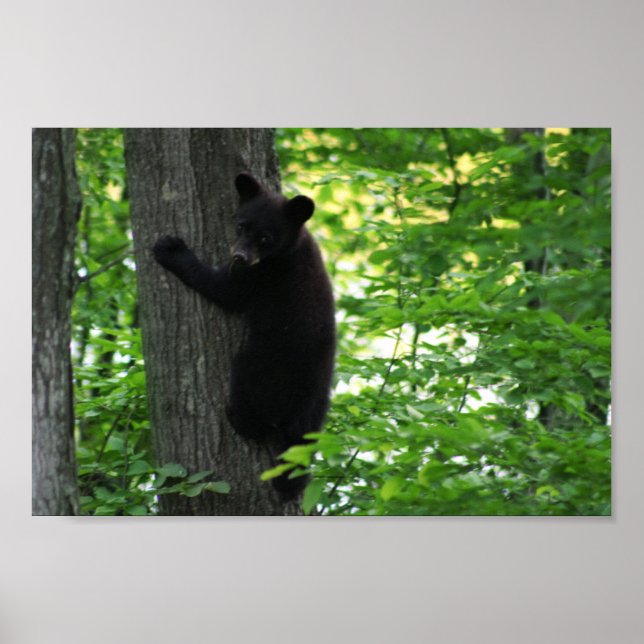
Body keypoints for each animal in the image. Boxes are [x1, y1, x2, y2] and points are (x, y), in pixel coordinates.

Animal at [152, 172, 336, 501]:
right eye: (241, 225)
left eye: (265, 238)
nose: (239, 255)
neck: (290, 248)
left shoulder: (259, 276)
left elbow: (222, 288)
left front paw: (171, 248)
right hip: (318, 404)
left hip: (259, 365)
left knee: (249, 396)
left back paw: (237, 417)